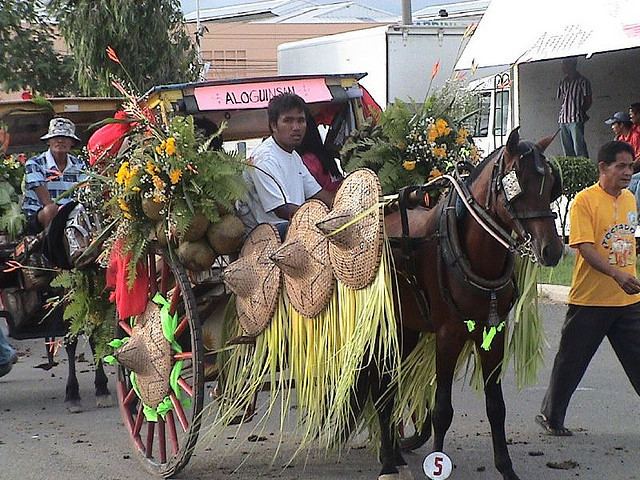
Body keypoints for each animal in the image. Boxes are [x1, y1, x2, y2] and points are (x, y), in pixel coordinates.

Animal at [360, 128, 564, 480]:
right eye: (517, 185)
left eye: (551, 184)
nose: (552, 249)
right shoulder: (448, 336)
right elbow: (442, 410)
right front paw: (437, 464)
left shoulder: (493, 334)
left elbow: (496, 407)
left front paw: (506, 468)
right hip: (383, 327)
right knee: (380, 387)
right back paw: (387, 460)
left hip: (407, 329)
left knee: (390, 386)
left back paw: (395, 454)